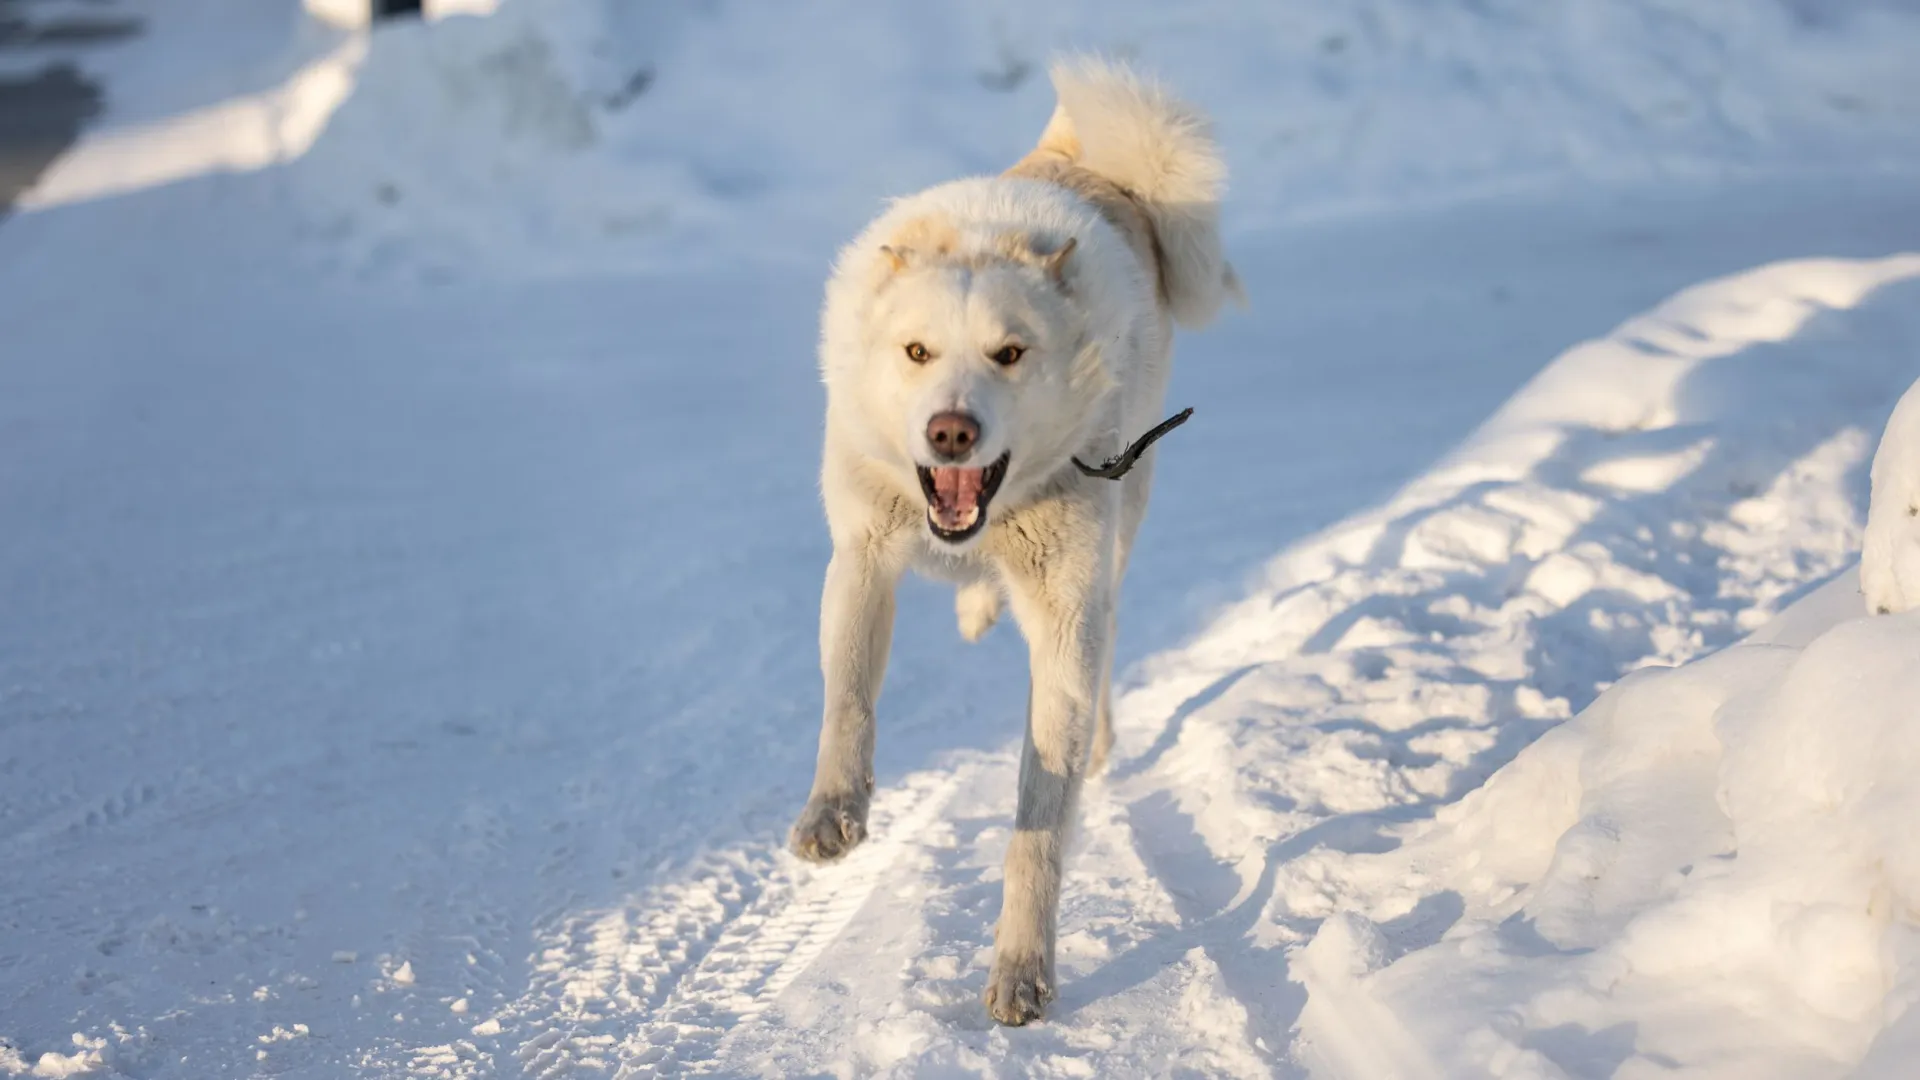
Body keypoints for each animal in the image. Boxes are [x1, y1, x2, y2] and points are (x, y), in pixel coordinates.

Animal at [787, 56, 1236, 1014]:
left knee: (1106, 636)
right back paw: (975, 607)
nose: (951, 431)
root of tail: (1094, 168)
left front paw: (1023, 966)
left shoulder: (1065, 617)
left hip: (1116, 538)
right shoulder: (861, 563)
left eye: (1010, 353)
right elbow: (848, 703)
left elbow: (1039, 822)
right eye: (917, 353)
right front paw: (833, 815)